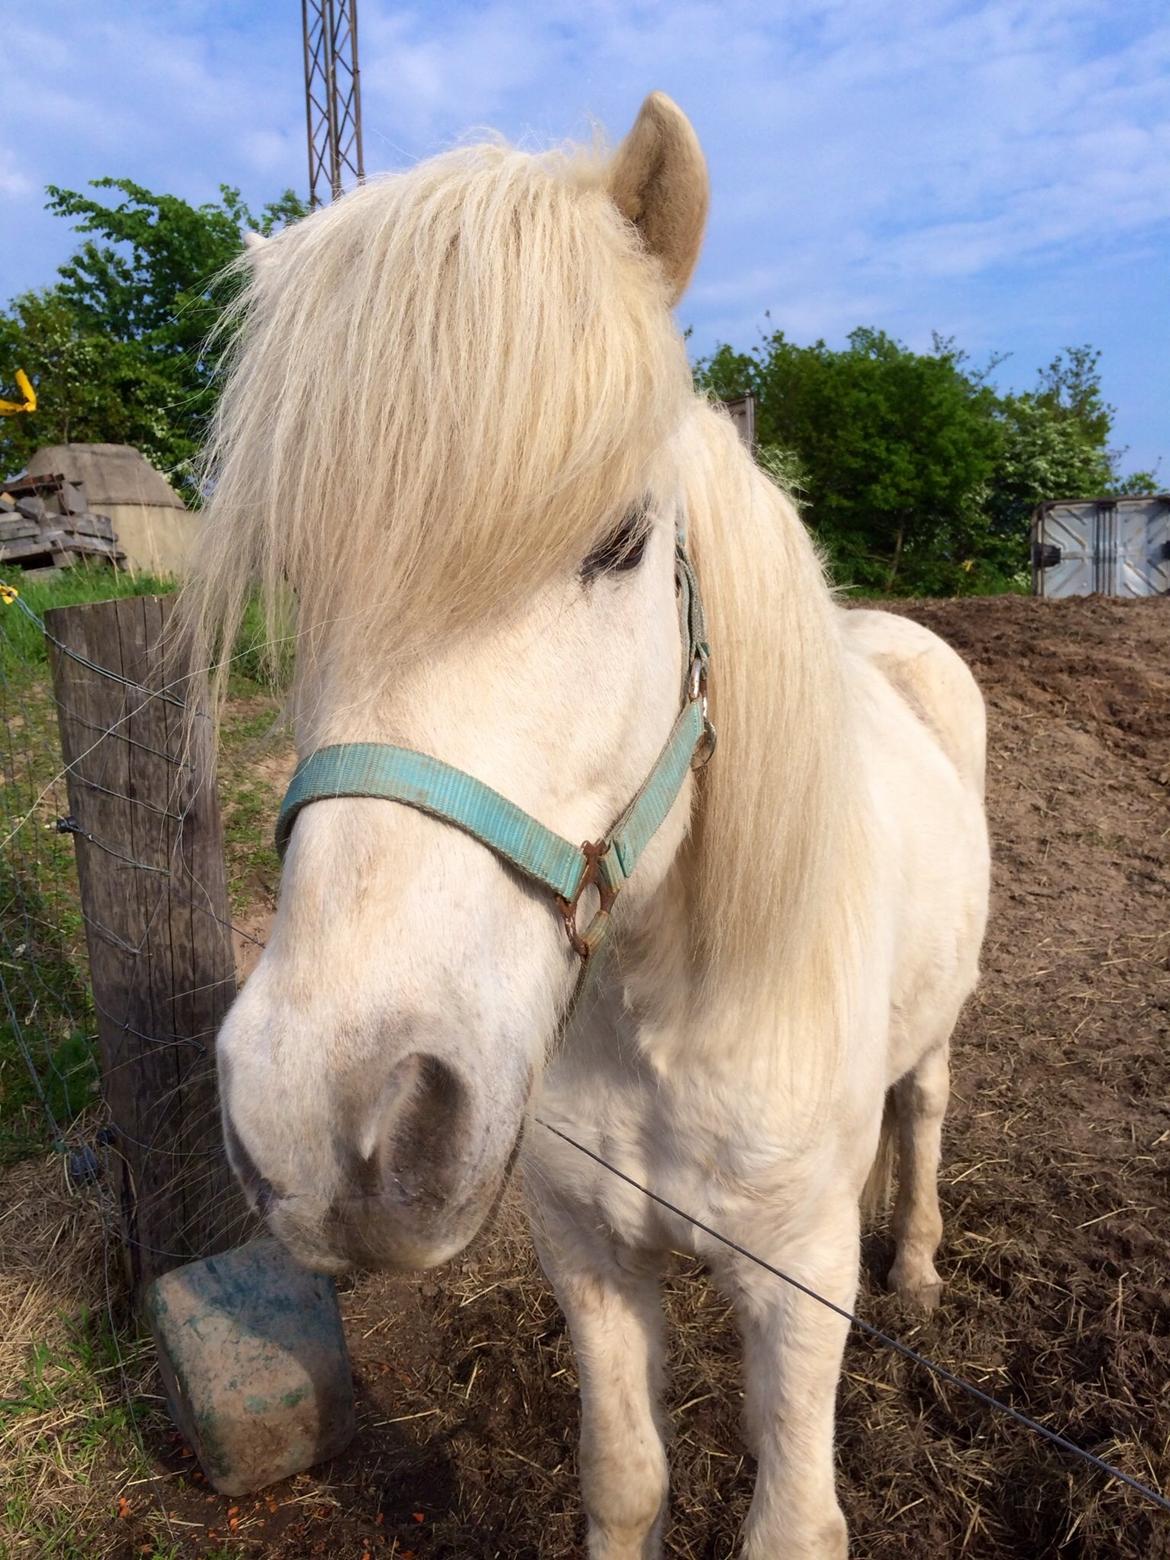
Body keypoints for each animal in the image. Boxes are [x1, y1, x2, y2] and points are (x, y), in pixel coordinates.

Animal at [187, 94, 992, 1560]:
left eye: (619, 542)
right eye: (292, 579)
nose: (328, 1126)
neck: (664, 1006)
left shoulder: (796, 1284)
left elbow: (793, 1520)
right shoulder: (590, 1252)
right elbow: (624, 1476)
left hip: (937, 1033)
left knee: (924, 1110)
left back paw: (914, 1266)